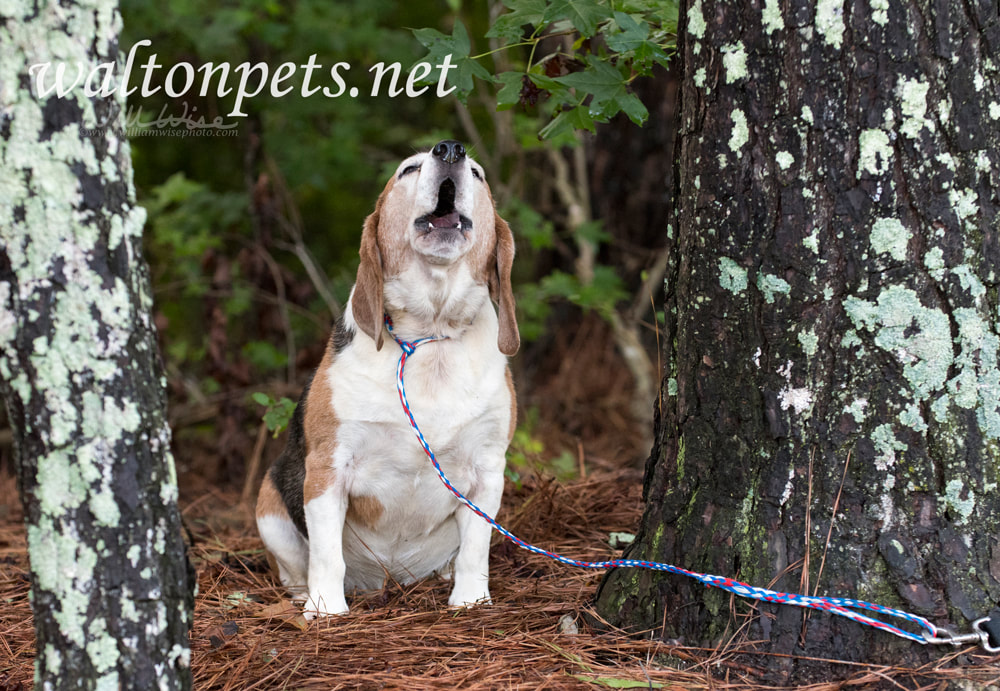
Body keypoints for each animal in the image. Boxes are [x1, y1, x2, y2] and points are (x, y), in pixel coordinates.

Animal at [254, 139, 520, 616]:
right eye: (409, 169)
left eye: (477, 173)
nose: (450, 149)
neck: (431, 337)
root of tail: (391, 582)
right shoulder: (327, 467)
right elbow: (327, 554)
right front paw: (326, 609)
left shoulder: (488, 469)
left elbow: (476, 549)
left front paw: (471, 601)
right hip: (268, 507)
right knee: (297, 566)